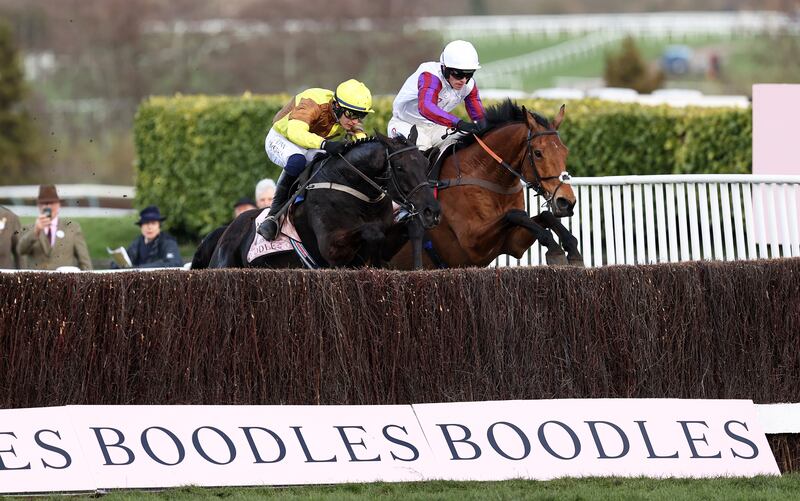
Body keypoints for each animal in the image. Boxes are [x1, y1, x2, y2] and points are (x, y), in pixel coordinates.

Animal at [202, 131, 438, 268]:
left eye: (426, 164)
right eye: (400, 167)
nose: (431, 211)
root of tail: (226, 231)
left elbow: (400, 233)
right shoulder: (330, 248)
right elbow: (372, 231)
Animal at [388, 101, 580, 270]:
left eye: (565, 151)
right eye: (538, 153)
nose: (566, 202)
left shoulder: (513, 244)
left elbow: (544, 215)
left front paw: (572, 248)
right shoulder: (471, 245)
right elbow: (515, 214)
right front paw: (556, 250)